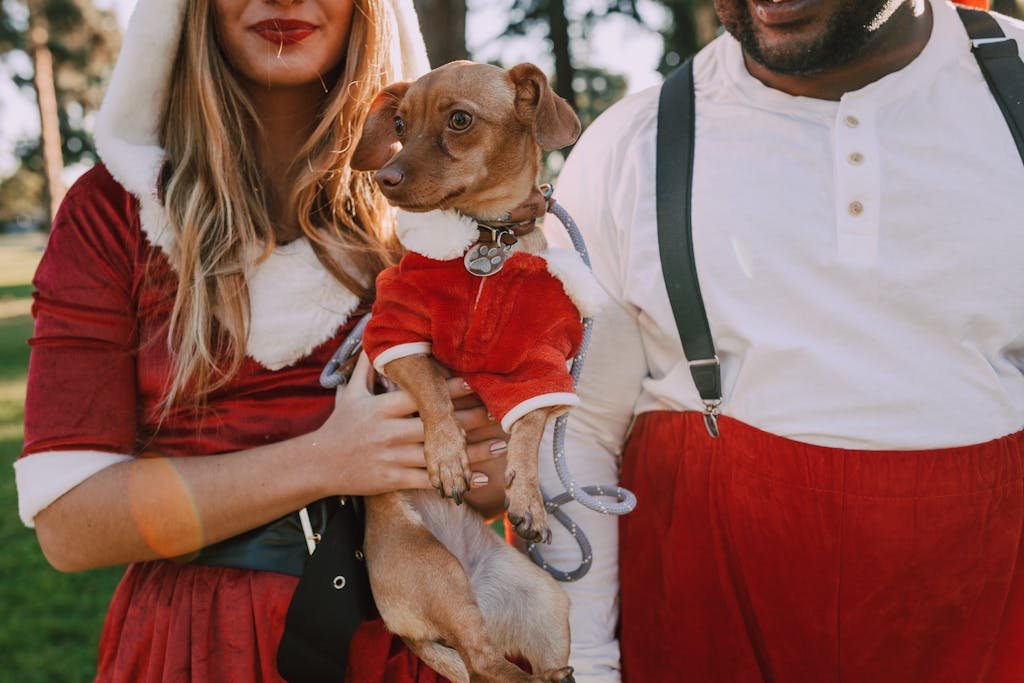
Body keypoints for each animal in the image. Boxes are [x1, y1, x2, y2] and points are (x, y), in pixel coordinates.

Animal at [346, 61, 585, 679]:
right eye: (399, 124)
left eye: (459, 121)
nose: (385, 178)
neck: (485, 239)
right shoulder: (396, 333)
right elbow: (432, 386)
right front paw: (449, 457)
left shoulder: (541, 364)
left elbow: (529, 426)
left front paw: (527, 498)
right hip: (434, 570)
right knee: (480, 661)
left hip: (544, 601)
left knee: (507, 660)